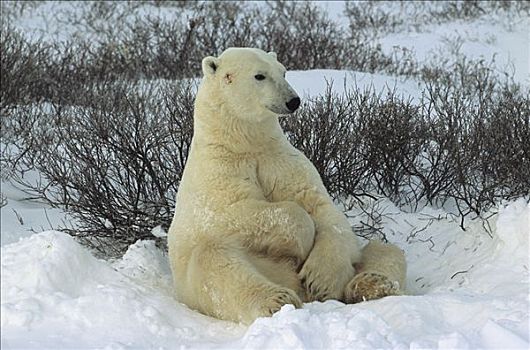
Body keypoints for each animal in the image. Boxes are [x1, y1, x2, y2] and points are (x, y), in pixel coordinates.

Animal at [168, 47, 404, 324]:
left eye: (283, 71)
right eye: (259, 75)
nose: (293, 101)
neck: (243, 143)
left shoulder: (281, 161)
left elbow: (322, 208)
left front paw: (320, 278)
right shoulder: (218, 174)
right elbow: (235, 213)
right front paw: (301, 241)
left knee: (385, 249)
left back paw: (372, 284)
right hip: (215, 274)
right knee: (214, 263)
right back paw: (278, 300)